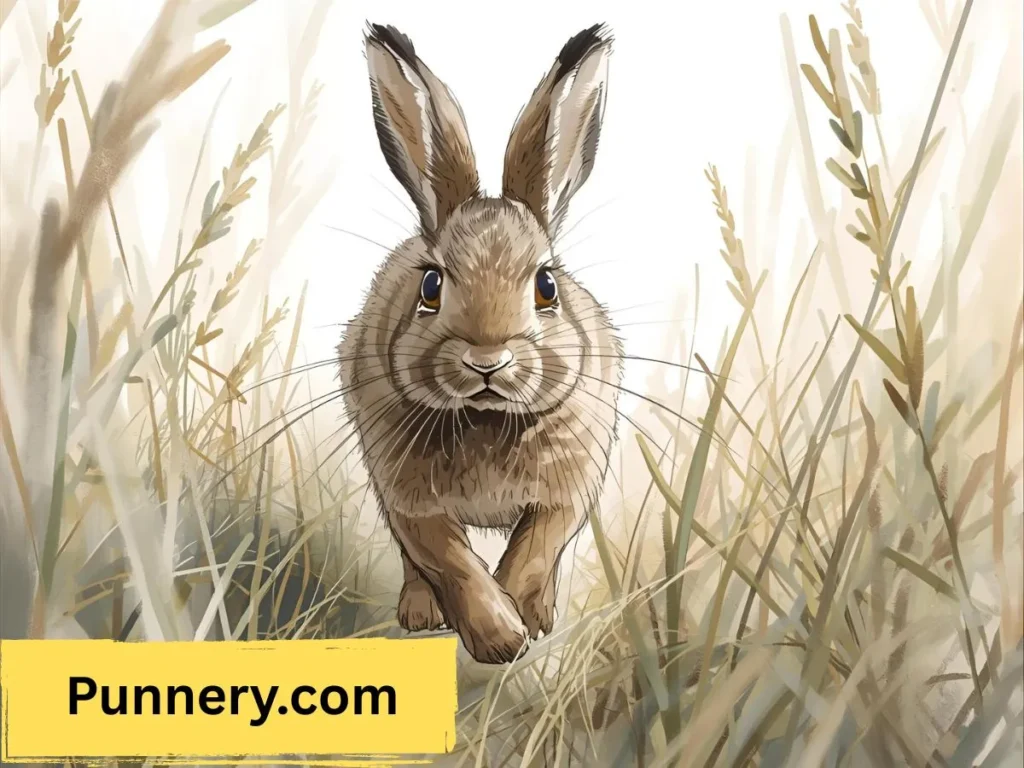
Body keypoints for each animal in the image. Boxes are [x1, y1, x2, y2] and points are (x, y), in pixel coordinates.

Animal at [339, 22, 622, 664]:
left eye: (547, 285)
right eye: (431, 285)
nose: (487, 361)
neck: (488, 418)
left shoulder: (568, 487)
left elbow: (536, 548)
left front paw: (520, 622)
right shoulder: (408, 496)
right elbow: (450, 559)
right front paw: (499, 638)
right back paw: (420, 613)